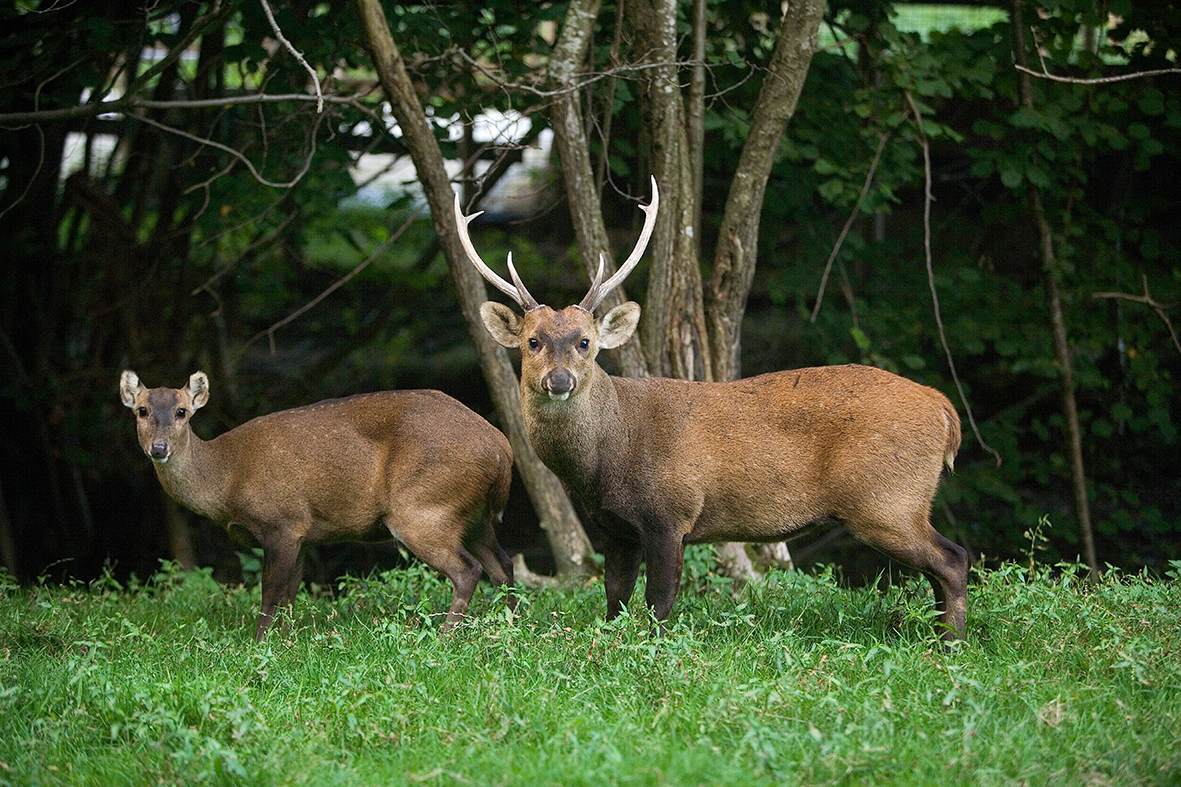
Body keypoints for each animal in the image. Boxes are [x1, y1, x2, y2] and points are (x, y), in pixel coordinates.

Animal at [118, 368, 517, 638]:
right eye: (141, 410)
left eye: (182, 411)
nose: (159, 448)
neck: (226, 480)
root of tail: (501, 447)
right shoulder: (303, 533)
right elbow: (290, 594)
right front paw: (285, 640)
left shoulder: (281, 521)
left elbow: (271, 593)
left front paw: (257, 643)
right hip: (473, 516)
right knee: (504, 565)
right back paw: (513, 627)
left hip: (421, 506)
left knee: (468, 570)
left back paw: (445, 636)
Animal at [453, 180, 968, 642]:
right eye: (532, 341)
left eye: (584, 342)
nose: (559, 381)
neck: (606, 460)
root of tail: (945, 411)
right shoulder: (615, 528)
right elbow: (614, 600)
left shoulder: (671, 512)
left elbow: (659, 604)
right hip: (899, 500)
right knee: (942, 567)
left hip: (886, 498)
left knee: (953, 558)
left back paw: (950, 645)